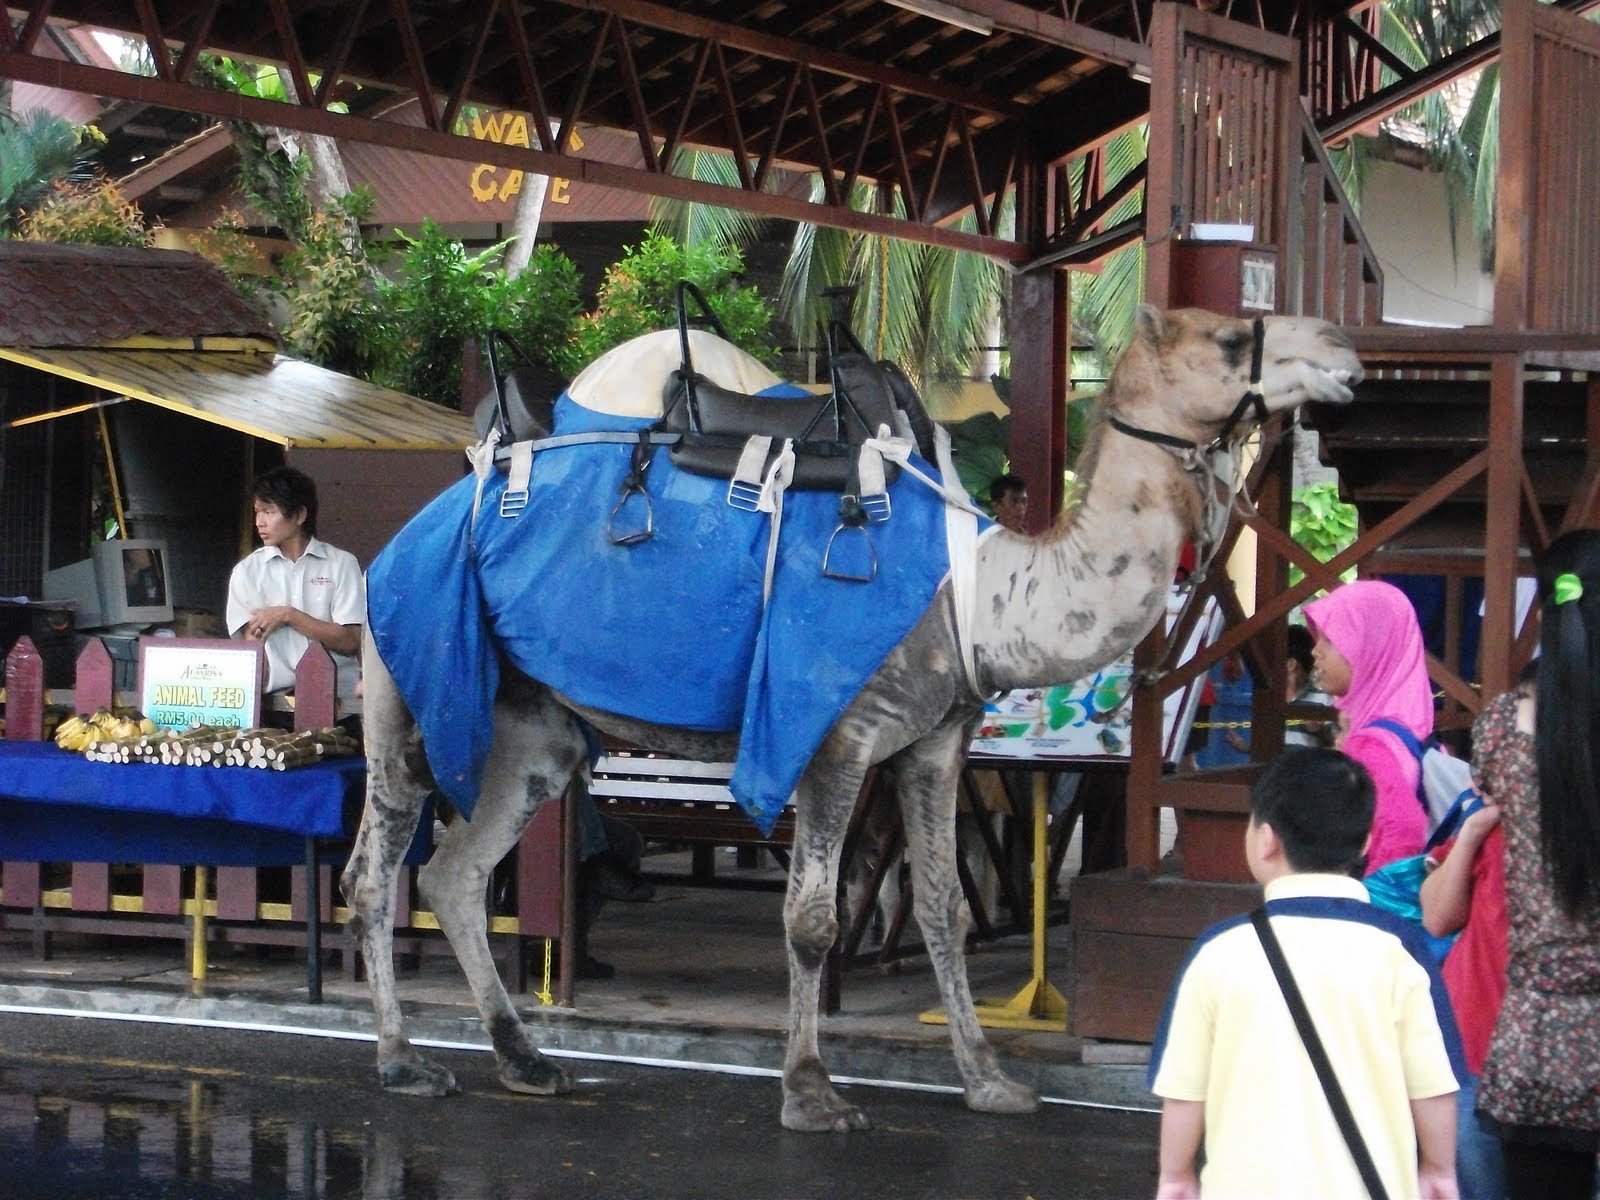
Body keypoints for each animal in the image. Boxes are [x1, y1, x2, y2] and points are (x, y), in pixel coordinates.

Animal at [340, 305, 1363, 1132]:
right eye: (1227, 339)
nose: (1344, 345)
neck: (981, 593)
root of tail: (410, 526)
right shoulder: (837, 732)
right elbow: (812, 919)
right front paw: (810, 1092)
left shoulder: (937, 742)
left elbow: (946, 906)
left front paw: (991, 1083)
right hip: (406, 673)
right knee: (375, 867)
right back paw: (399, 1061)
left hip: (535, 728)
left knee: (457, 874)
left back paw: (525, 1060)